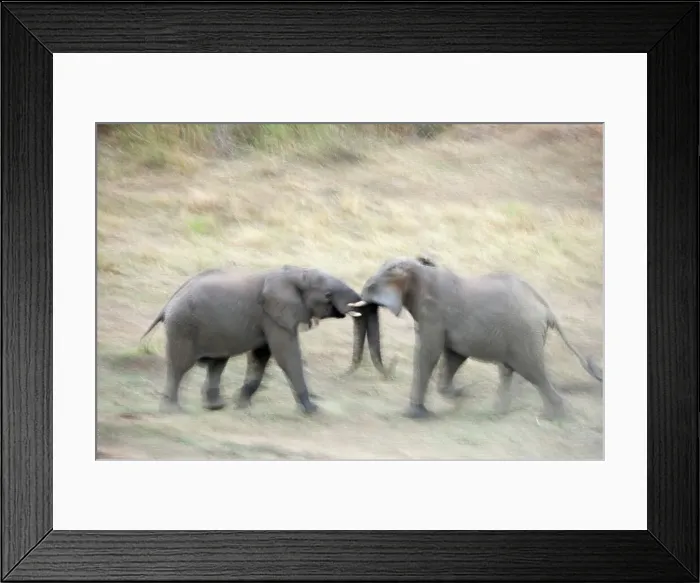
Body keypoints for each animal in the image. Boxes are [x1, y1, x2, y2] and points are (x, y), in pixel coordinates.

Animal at [140, 265, 391, 415]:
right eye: (327, 294)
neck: (293, 273)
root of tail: (169, 302)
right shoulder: (273, 315)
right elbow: (285, 354)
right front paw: (312, 410)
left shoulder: (269, 318)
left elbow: (261, 356)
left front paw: (241, 405)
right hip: (183, 326)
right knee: (180, 366)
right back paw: (172, 411)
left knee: (217, 363)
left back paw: (216, 407)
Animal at [354, 255, 603, 420]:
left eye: (371, 288)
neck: (419, 271)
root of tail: (547, 309)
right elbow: (454, 355)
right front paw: (460, 395)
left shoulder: (434, 314)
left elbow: (428, 353)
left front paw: (415, 414)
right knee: (508, 370)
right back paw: (498, 413)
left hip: (525, 335)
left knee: (532, 371)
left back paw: (553, 417)